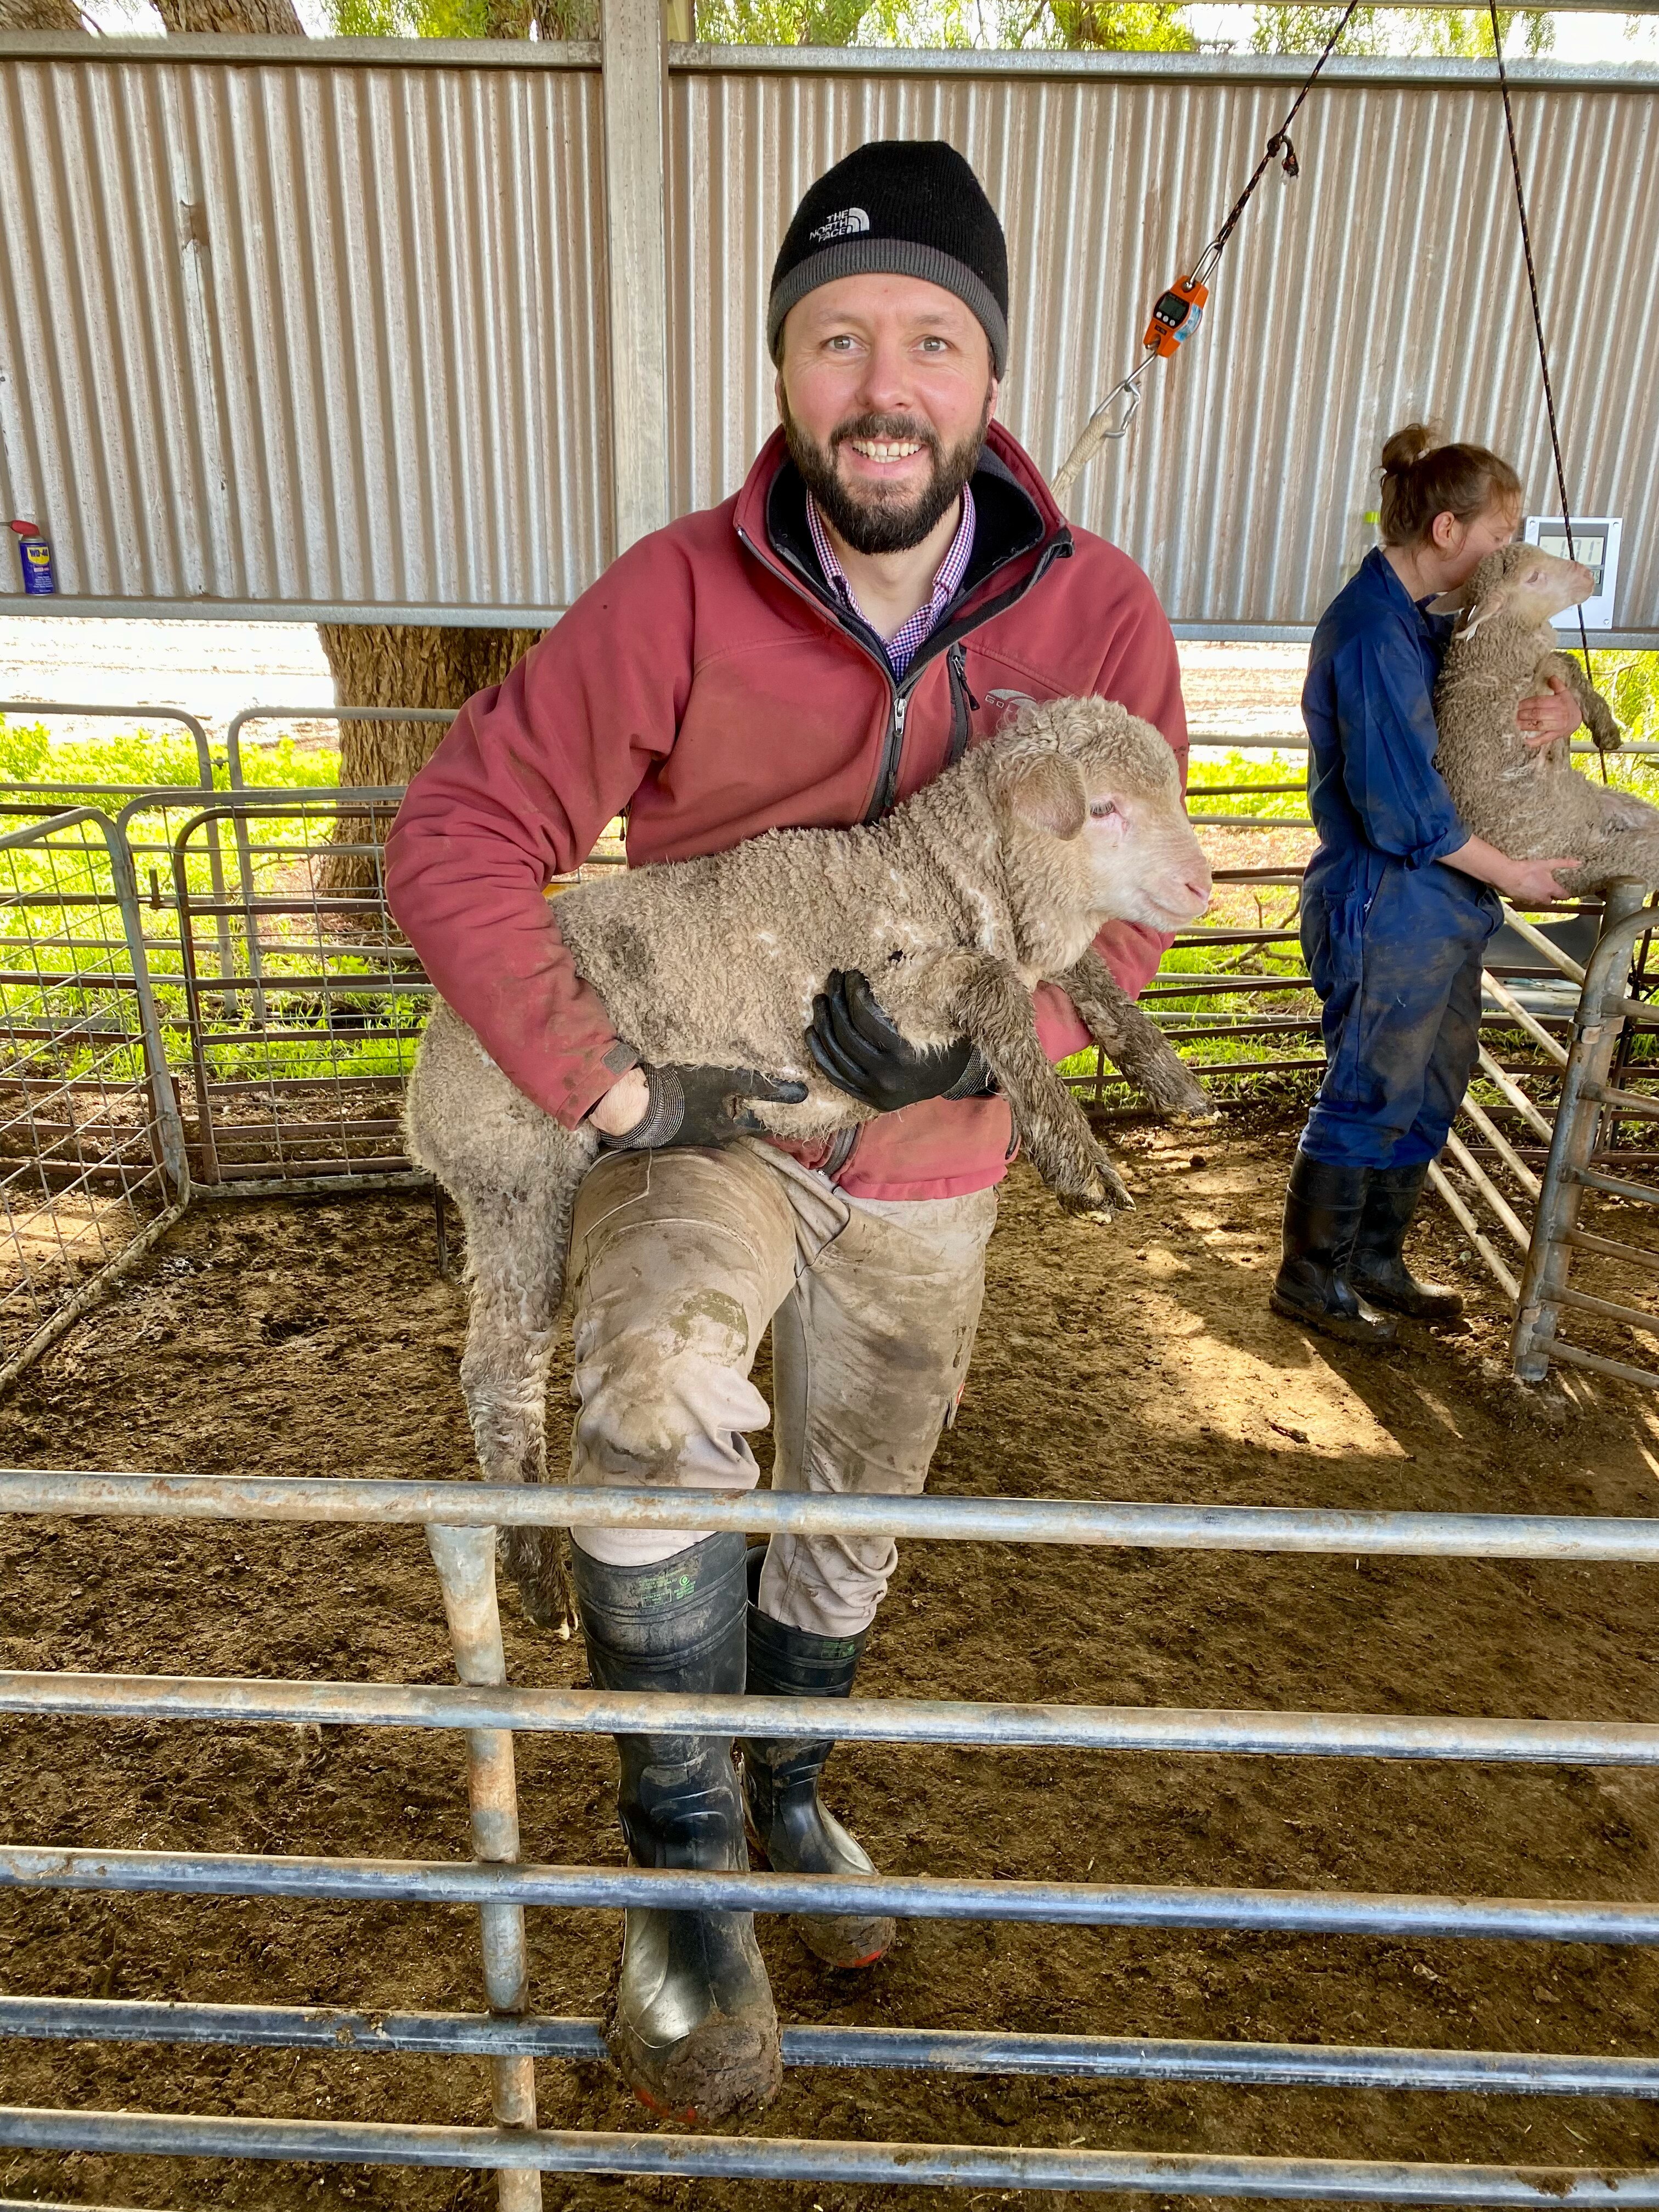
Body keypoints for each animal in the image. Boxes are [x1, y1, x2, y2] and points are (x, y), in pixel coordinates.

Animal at [405, 696, 1214, 1629]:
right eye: (1106, 809)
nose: (1202, 887)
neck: (937, 879)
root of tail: (421, 1090)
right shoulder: (886, 995)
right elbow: (999, 993)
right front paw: (1079, 1158)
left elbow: (1085, 979)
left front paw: (1170, 1076)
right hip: (520, 1176)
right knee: (501, 1375)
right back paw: (538, 1574)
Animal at [1429, 543, 1645, 896]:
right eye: (1532, 577)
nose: (1586, 574)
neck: (1494, 660)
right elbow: (1559, 661)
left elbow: (1566, 661)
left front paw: (1604, 725)